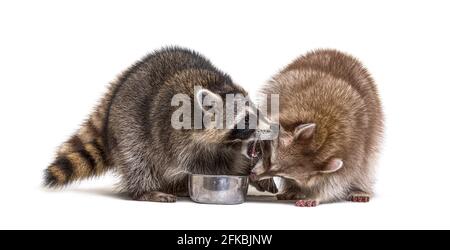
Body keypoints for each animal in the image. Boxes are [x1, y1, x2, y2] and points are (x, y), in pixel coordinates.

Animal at [45, 47, 278, 202]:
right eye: (246, 119)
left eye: (258, 112)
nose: (274, 128)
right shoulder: (175, 136)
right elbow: (199, 164)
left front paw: (253, 170)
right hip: (128, 127)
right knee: (136, 160)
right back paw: (145, 190)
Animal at [253, 49, 384, 207]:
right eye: (269, 160)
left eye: (281, 174)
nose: (253, 176)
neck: (321, 138)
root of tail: (336, 52)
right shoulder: (280, 100)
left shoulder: (354, 148)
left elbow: (339, 178)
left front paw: (317, 195)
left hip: (373, 129)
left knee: (367, 164)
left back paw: (360, 188)